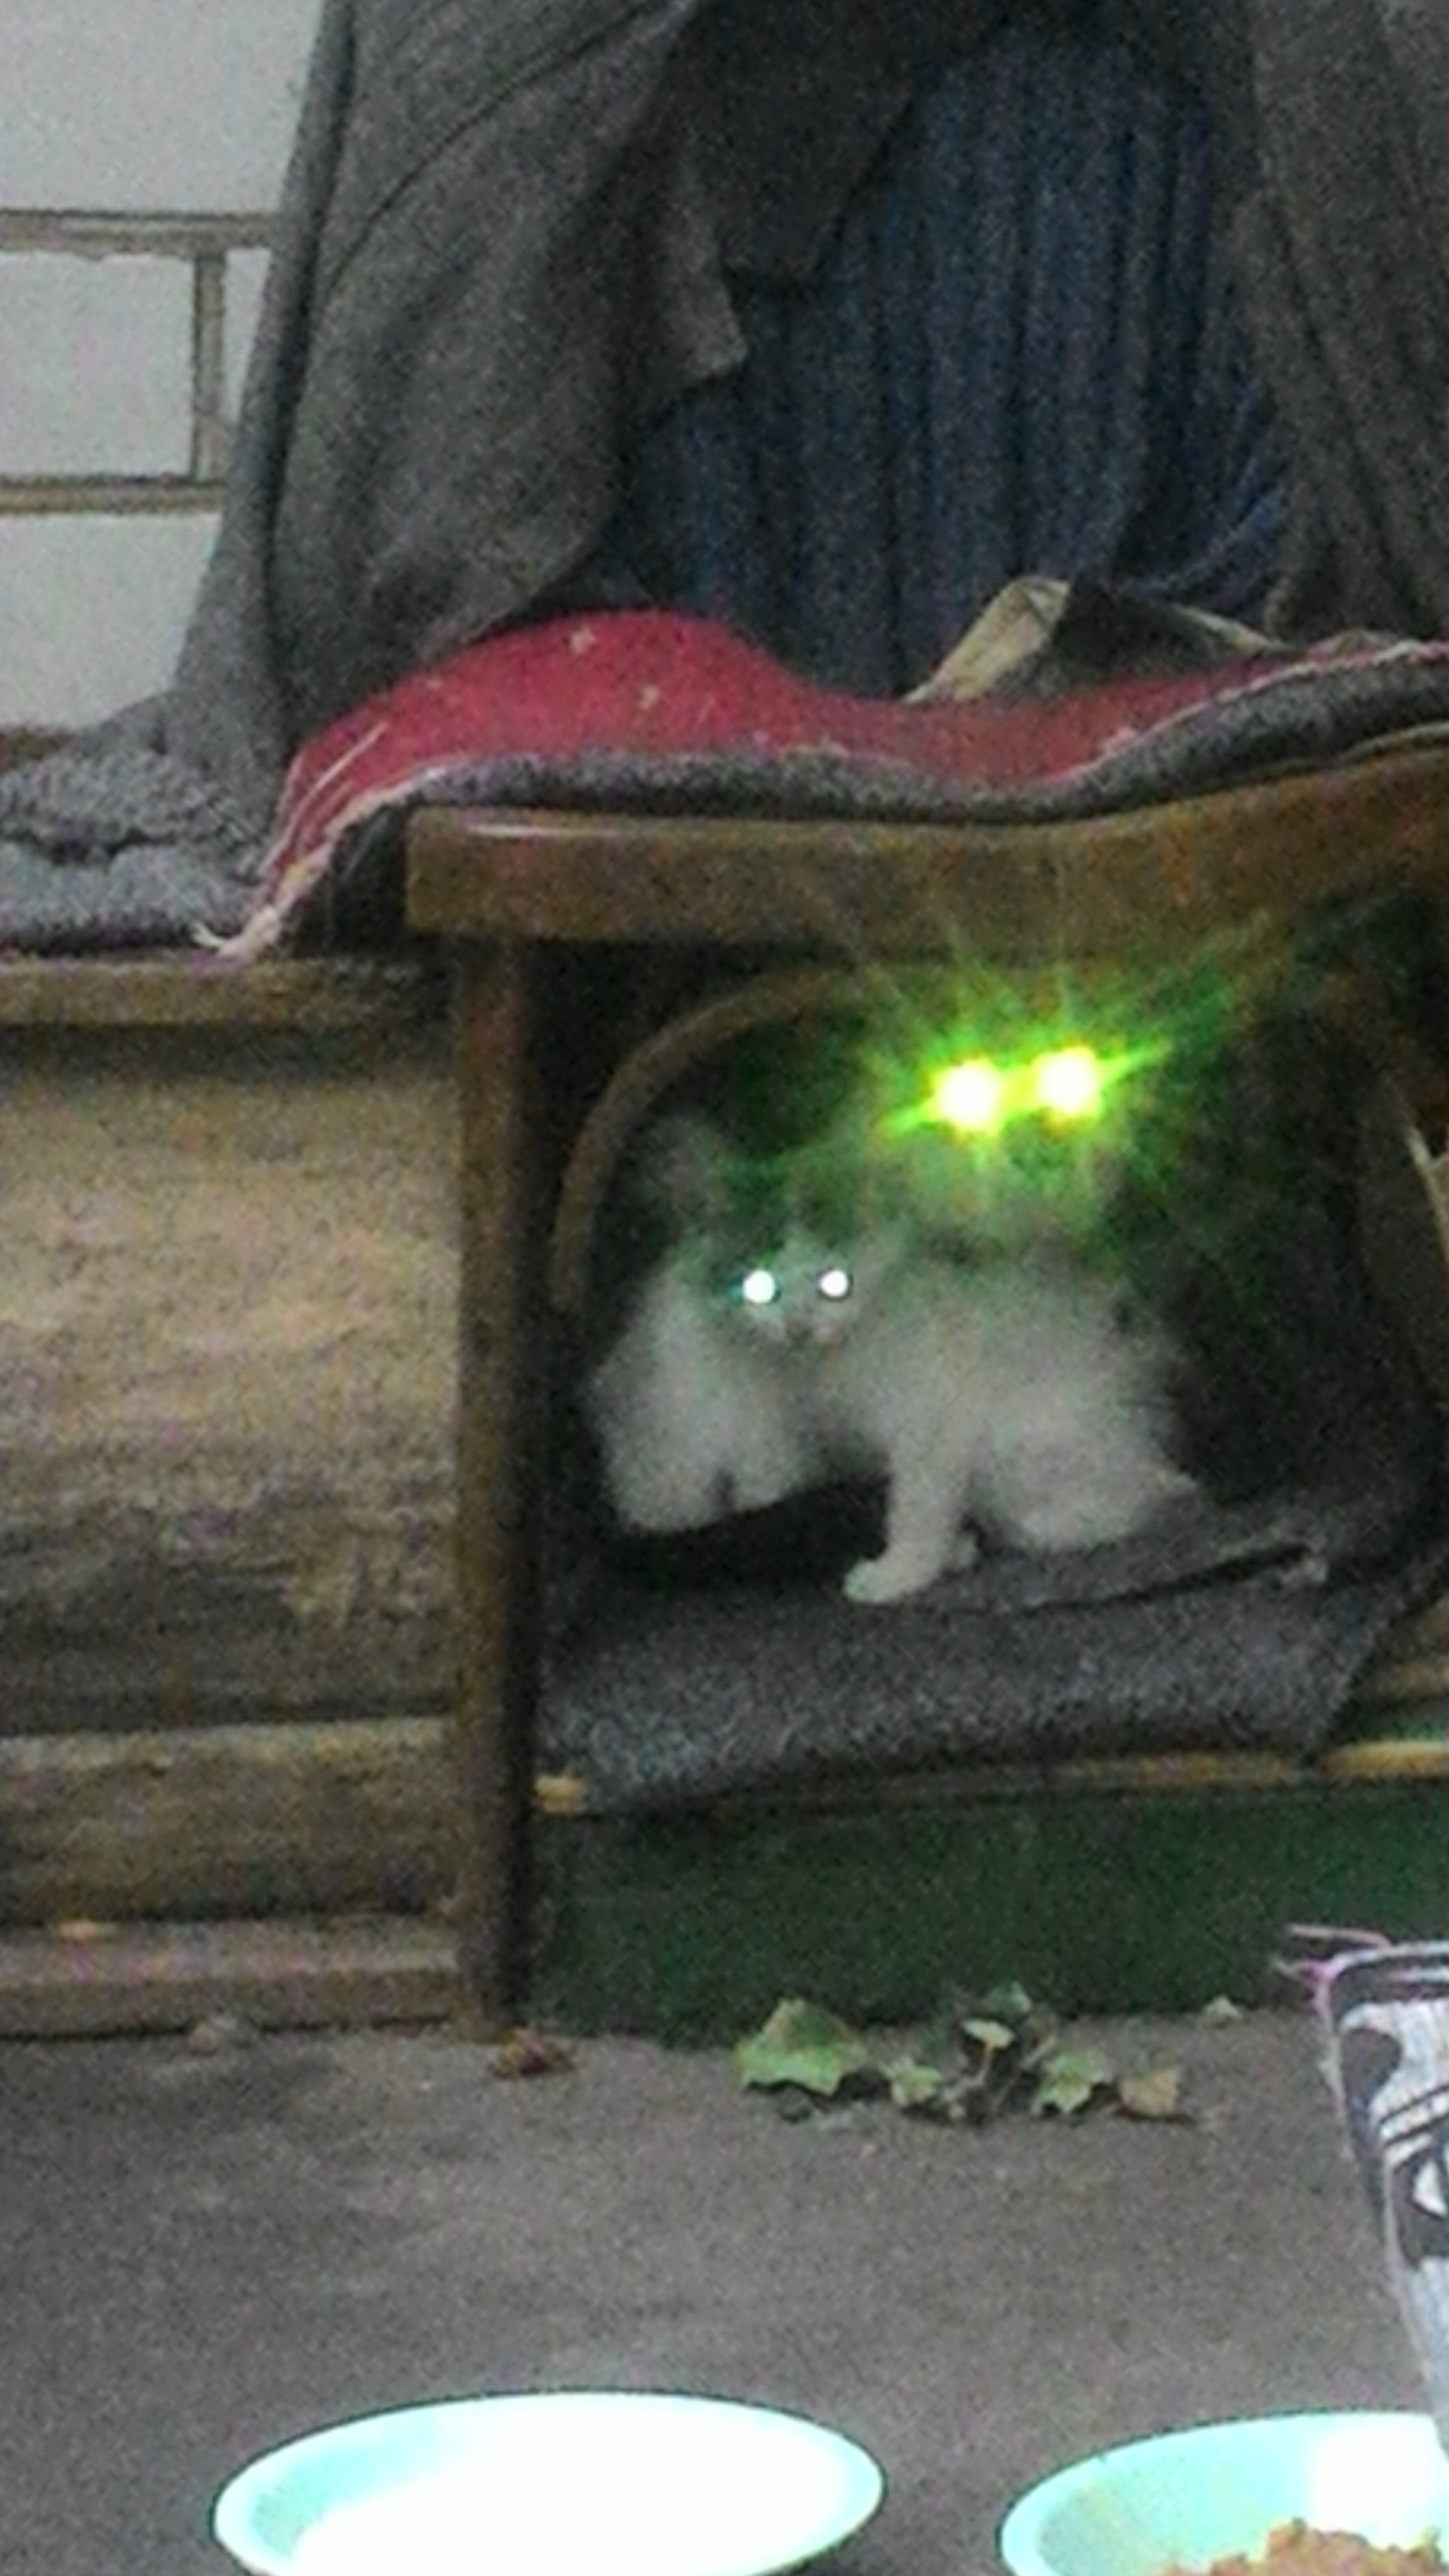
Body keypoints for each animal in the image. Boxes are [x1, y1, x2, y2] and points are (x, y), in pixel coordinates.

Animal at [585, 1116, 1196, 1603]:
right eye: (760, 1285)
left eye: (835, 1282)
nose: (800, 1327)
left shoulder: (935, 1418)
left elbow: (918, 1503)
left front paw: (898, 1575)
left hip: (1025, 1446)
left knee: (1101, 1512)